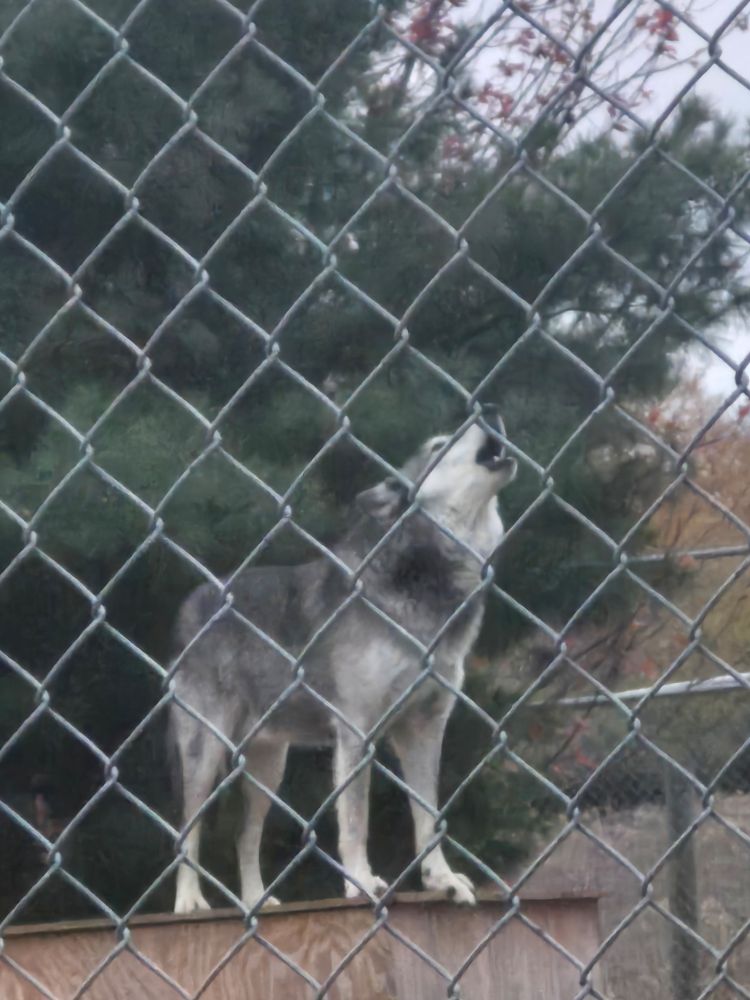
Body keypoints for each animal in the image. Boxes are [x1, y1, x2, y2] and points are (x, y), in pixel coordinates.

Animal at [170, 406, 516, 913]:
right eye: (439, 444)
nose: (489, 409)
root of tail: (189, 607)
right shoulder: (357, 730)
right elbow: (355, 820)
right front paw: (361, 882)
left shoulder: (425, 728)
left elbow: (428, 816)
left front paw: (442, 880)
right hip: (206, 751)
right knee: (186, 830)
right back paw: (189, 902)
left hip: (269, 767)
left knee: (243, 835)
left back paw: (257, 903)